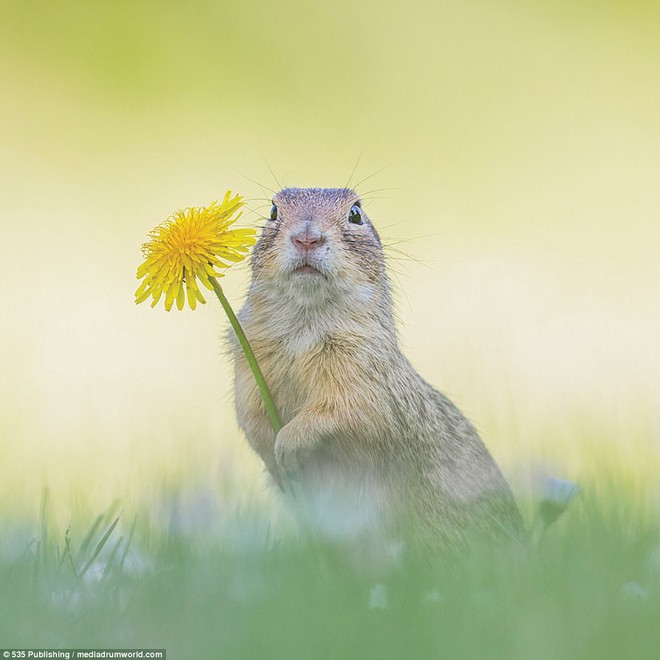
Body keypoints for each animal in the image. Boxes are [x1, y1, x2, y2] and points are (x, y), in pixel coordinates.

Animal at [229, 188, 524, 556]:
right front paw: (275, 457)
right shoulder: (249, 366)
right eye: (272, 211)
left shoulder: (366, 376)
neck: (305, 323)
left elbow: (343, 412)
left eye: (355, 213)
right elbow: (250, 416)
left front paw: (288, 444)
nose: (306, 237)